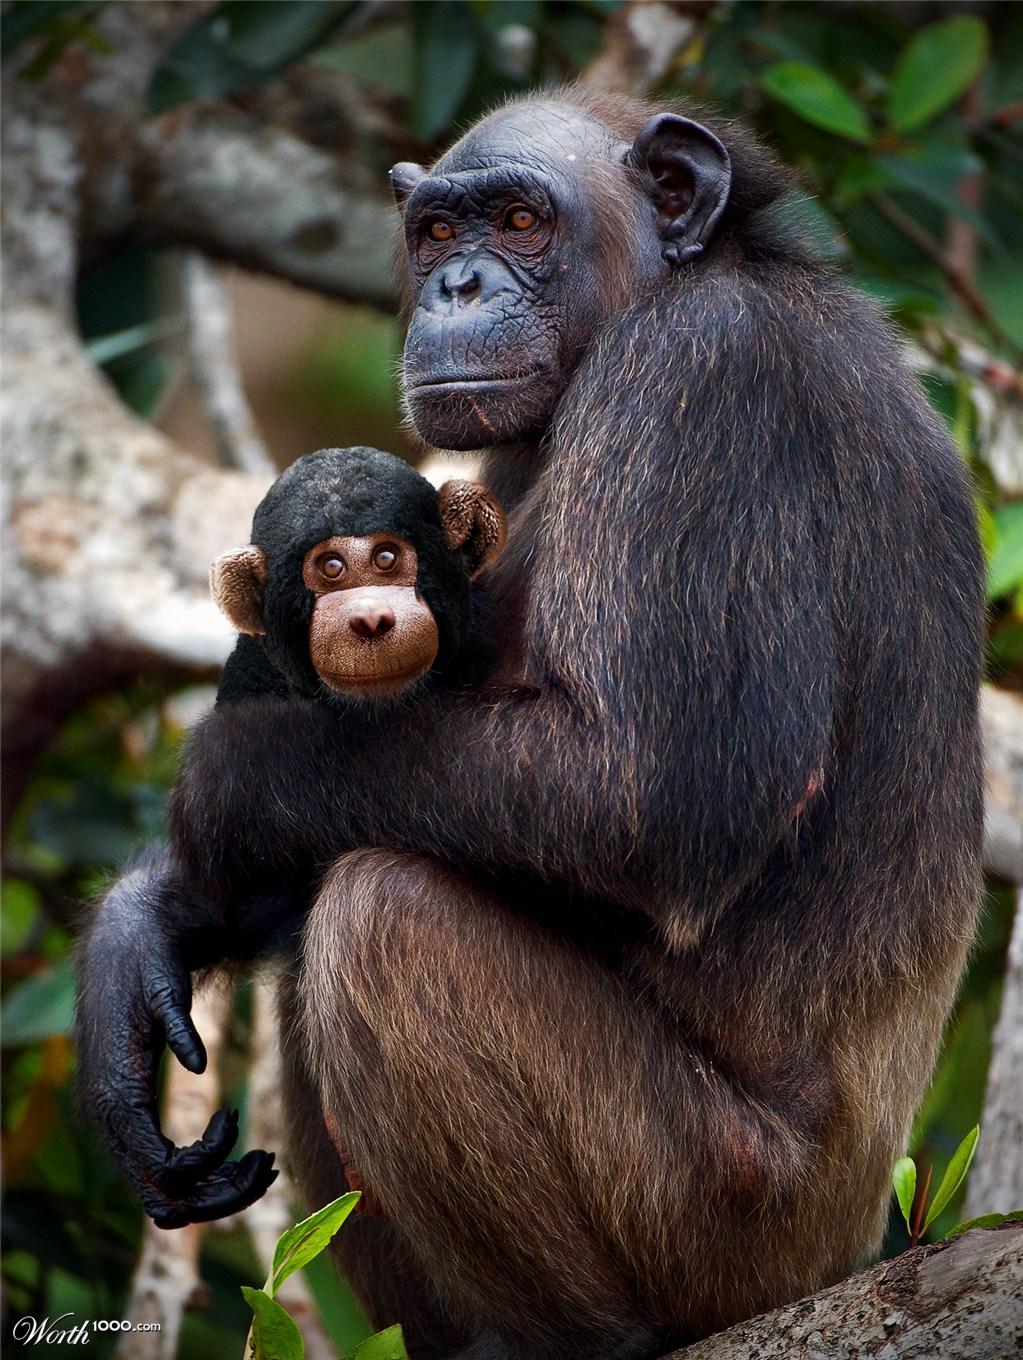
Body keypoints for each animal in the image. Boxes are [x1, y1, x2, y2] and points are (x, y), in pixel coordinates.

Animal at [77, 87, 984, 1360]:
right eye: (437, 236)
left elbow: (643, 790)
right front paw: (137, 936)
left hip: (715, 1212)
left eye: (519, 220)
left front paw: (220, 781)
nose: (460, 287)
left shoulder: (703, 381)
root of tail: (845, 1252)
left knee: (383, 919)